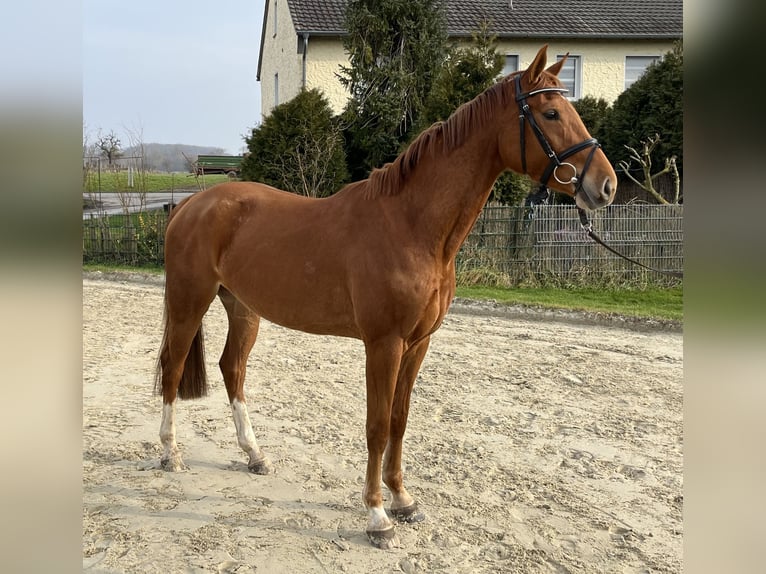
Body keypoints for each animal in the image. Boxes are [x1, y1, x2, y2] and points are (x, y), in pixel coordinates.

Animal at [156, 45, 616, 548]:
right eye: (551, 113)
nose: (606, 185)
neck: (410, 225)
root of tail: (191, 203)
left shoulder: (417, 344)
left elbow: (399, 420)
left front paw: (403, 500)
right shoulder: (384, 343)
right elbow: (376, 426)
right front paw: (377, 516)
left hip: (243, 308)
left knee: (232, 369)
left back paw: (254, 454)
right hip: (189, 302)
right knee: (173, 369)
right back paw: (170, 453)